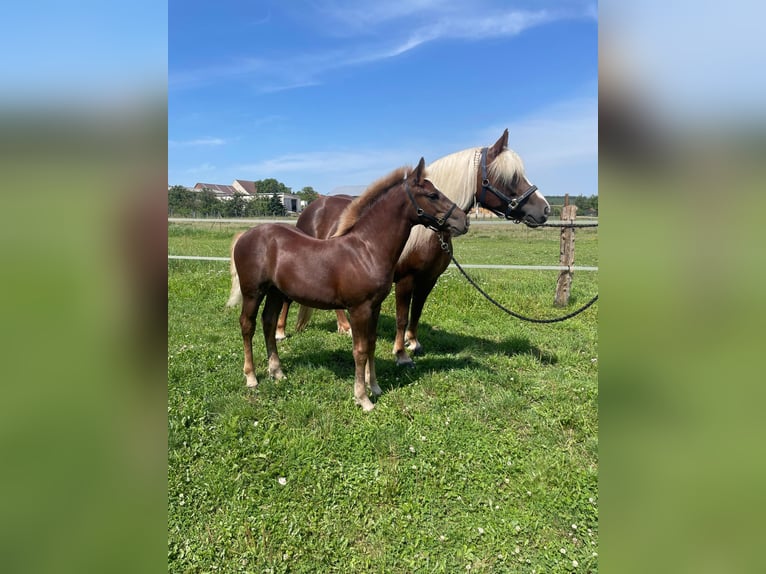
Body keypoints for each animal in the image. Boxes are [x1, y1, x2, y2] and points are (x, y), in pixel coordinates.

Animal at [225, 160, 472, 412]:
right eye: (432, 195)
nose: (464, 221)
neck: (367, 249)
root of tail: (245, 235)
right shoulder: (359, 309)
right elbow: (360, 350)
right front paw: (363, 398)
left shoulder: (374, 307)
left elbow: (371, 344)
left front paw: (375, 387)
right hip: (253, 292)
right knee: (247, 325)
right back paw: (251, 377)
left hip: (275, 292)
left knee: (269, 323)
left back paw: (277, 372)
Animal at [276, 128, 552, 366]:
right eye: (510, 177)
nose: (545, 210)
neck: (426, 233)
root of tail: (314, 206)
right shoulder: (406, 279)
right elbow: (402, 316)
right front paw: (400, 353)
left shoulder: (429, 279)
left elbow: (417, 311)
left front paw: (414, 343)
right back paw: (280, 331)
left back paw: (344, 328)